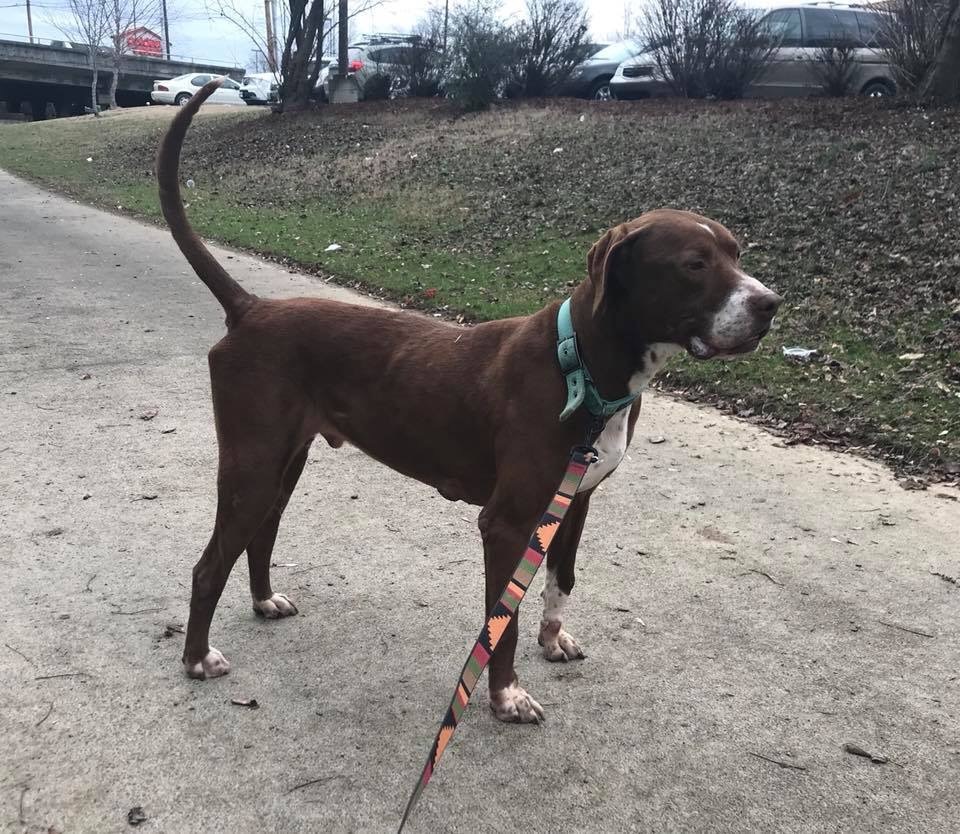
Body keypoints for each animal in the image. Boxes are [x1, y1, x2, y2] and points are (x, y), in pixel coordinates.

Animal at [158, 83, 784, 720]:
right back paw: (197, 658)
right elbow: (501, 620)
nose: (770, 305)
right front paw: (506, 695)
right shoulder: (506, 523)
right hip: (253, 465)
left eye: (737, 253)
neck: (581, 364)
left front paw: (553, 640)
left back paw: (263, 601)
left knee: (261, 535)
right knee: (209, 565)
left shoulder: (574, 503)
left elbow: (561, 582)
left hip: (285, 464)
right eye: (694, 264)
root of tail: (250, 307)